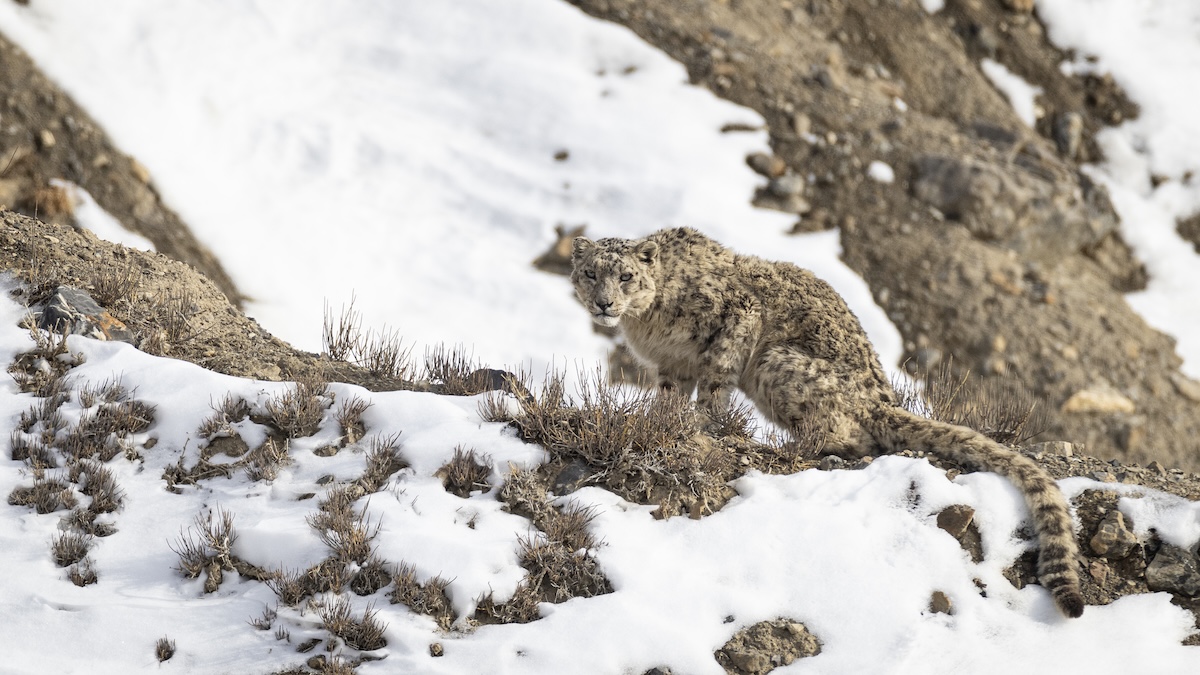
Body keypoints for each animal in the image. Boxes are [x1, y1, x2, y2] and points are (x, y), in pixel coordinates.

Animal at [569, 226, 1084, 618]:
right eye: (590, 272)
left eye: (626, 275)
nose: (603, 303)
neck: (650, 324)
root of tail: (883, 399)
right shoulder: (671, 367)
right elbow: (668, 402)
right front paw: (663, 421)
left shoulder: (736, 320)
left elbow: (714, 387)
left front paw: (703, 424)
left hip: (777, 364)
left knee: (850, 436)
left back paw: (791, 447)